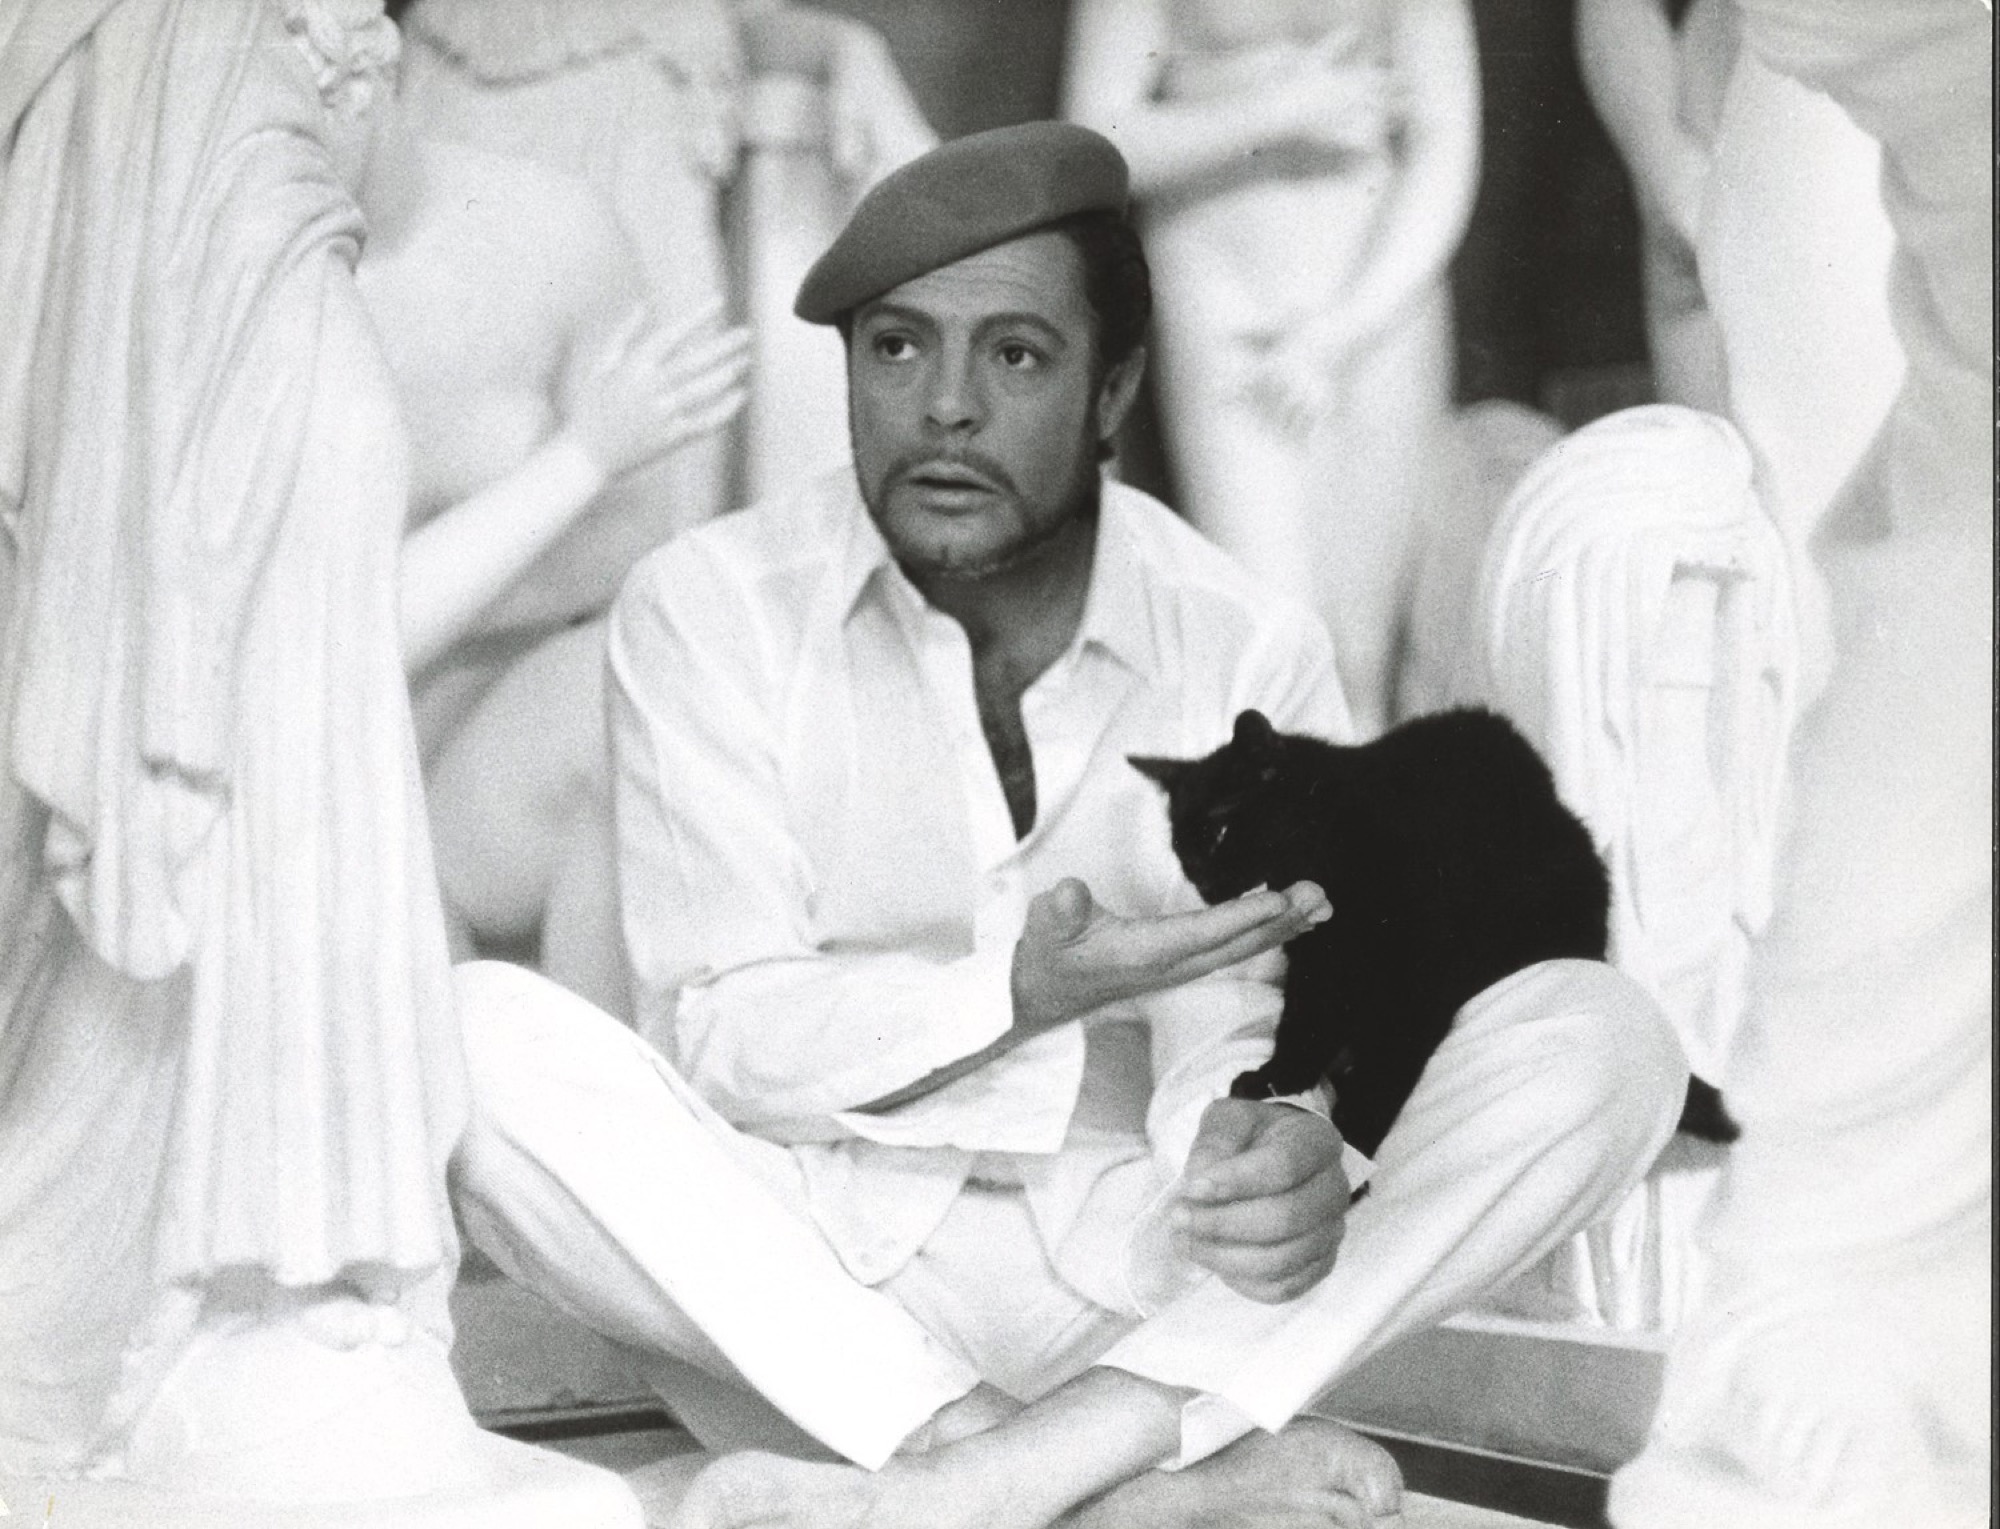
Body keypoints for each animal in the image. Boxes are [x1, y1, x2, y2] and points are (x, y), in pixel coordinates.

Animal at [1133, 706, 1736, 1157]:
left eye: (1220, 829)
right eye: (1181, 849)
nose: (1203, 884)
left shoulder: (1418, 982)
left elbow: (1384, 1071)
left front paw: (1353, 1147)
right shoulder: (1320, 968)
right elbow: (1303, 1026)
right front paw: (1276, 1079)